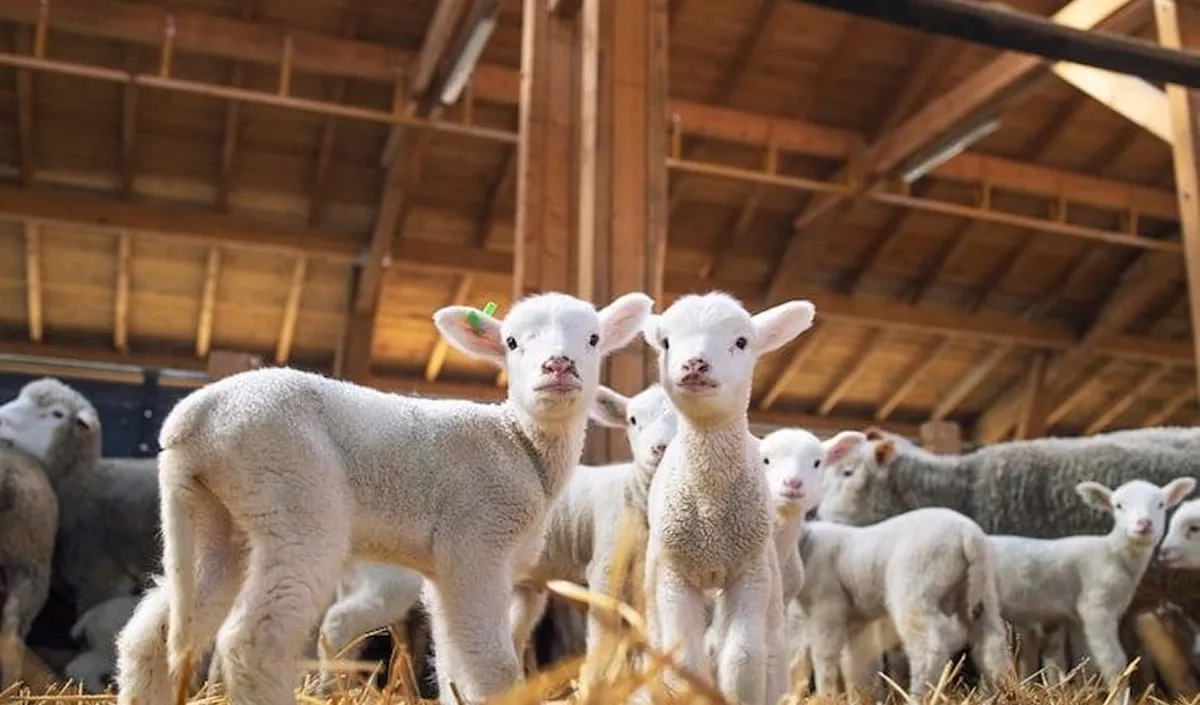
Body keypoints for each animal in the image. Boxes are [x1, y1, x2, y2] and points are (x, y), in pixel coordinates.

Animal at [113, 290, 653, 705]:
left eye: (593, 339)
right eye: (512, 342)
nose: (559, 366)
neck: (519, 442)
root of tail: (194, 417)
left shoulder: (448, 570)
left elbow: (455, 657)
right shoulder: (476, 543)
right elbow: (493, 663)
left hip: (216, 517)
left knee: (152, 633)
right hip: (294, 499)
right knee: (253, 640)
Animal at [509, 382, 678, 672]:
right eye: (633, 420)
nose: (660, 448)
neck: (633, 491)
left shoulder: (643, 571)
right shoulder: (605, 564)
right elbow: (602, 638)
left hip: (525, 582)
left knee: (514, 635)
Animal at [639, 291, 816, 705]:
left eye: (741, 341)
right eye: (666, 342)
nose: (694, 364)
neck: (710, 508)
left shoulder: (747, 571)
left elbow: (743, 656)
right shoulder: (674, 574)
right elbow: (684, 660)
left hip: (768, 570)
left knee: (772, 643)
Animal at [789, 508, 1014, 702]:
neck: (807, 548)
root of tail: (968, 534)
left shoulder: (827, 606)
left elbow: (824, 656)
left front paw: (825, 696)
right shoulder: (857, 621)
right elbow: (856, 663)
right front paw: (859, 697)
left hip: (916, 588)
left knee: (929, 648)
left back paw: (918, 696)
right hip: (981, 590)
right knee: (992, 643)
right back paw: (997, 692)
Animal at [987, 476, 1195, 704]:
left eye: (1160, 504)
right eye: (1118, 505)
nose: (1143, 525)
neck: (1113, 553)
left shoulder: (1078, 620)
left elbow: (1085, 659)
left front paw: (1086, 691)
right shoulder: (1096, 608)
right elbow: (1114, 660)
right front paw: (1119, 697)